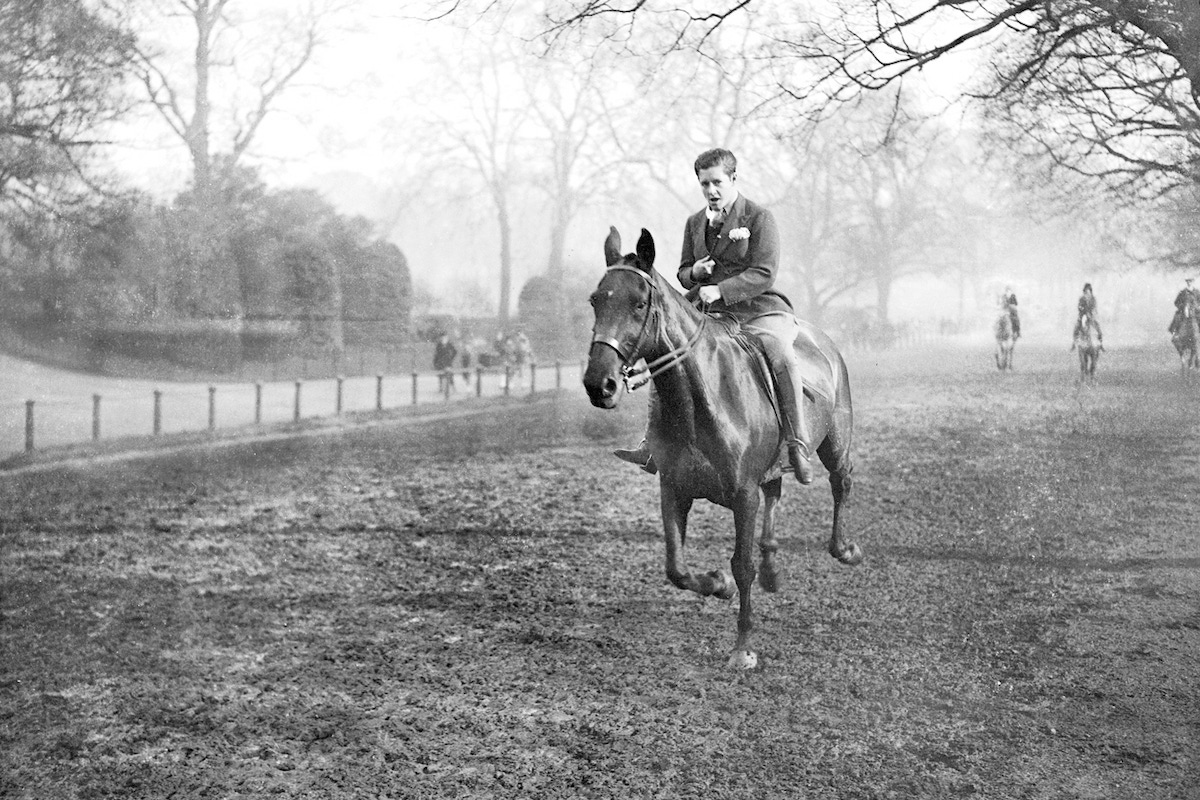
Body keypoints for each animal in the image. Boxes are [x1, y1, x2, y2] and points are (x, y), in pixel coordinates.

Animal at [583, 226, 859, 671]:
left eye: (639, 303)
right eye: (596, 300)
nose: (598, 384)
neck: (702, 397)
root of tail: (823, 341)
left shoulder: (743, 495)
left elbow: (741, 564)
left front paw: (743, 646)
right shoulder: (673, 489)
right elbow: (676, 568)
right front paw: (718, 584)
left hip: (835, 444)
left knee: (840, 483)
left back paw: (845, 549)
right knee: (775, 493)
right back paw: (772, 569)